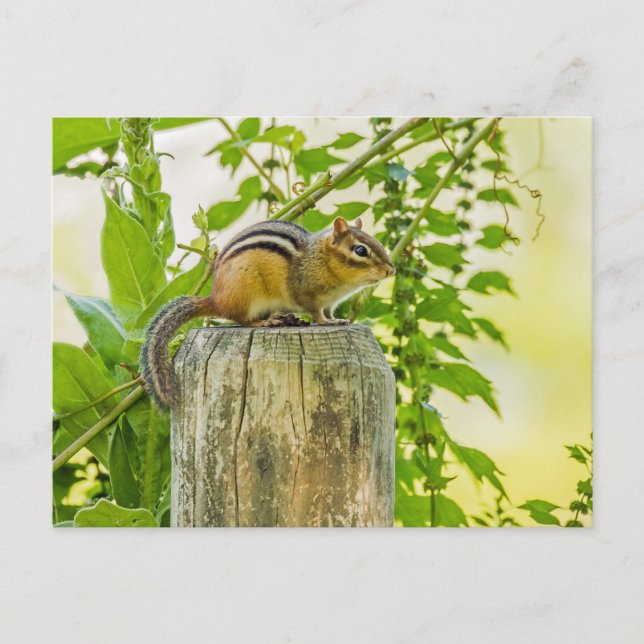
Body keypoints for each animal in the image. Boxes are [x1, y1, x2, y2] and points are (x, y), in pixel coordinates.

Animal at [140, 216, 395, 409]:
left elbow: (329, 312)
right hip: (247, 292)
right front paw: (326, 323)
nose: (391, 270)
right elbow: (316, 313)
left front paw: (338, 320)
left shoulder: (330, 302)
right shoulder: (308, 295)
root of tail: (216, 299)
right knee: (242, 319)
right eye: (360, 250)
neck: (323, 260)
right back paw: (266, 322)